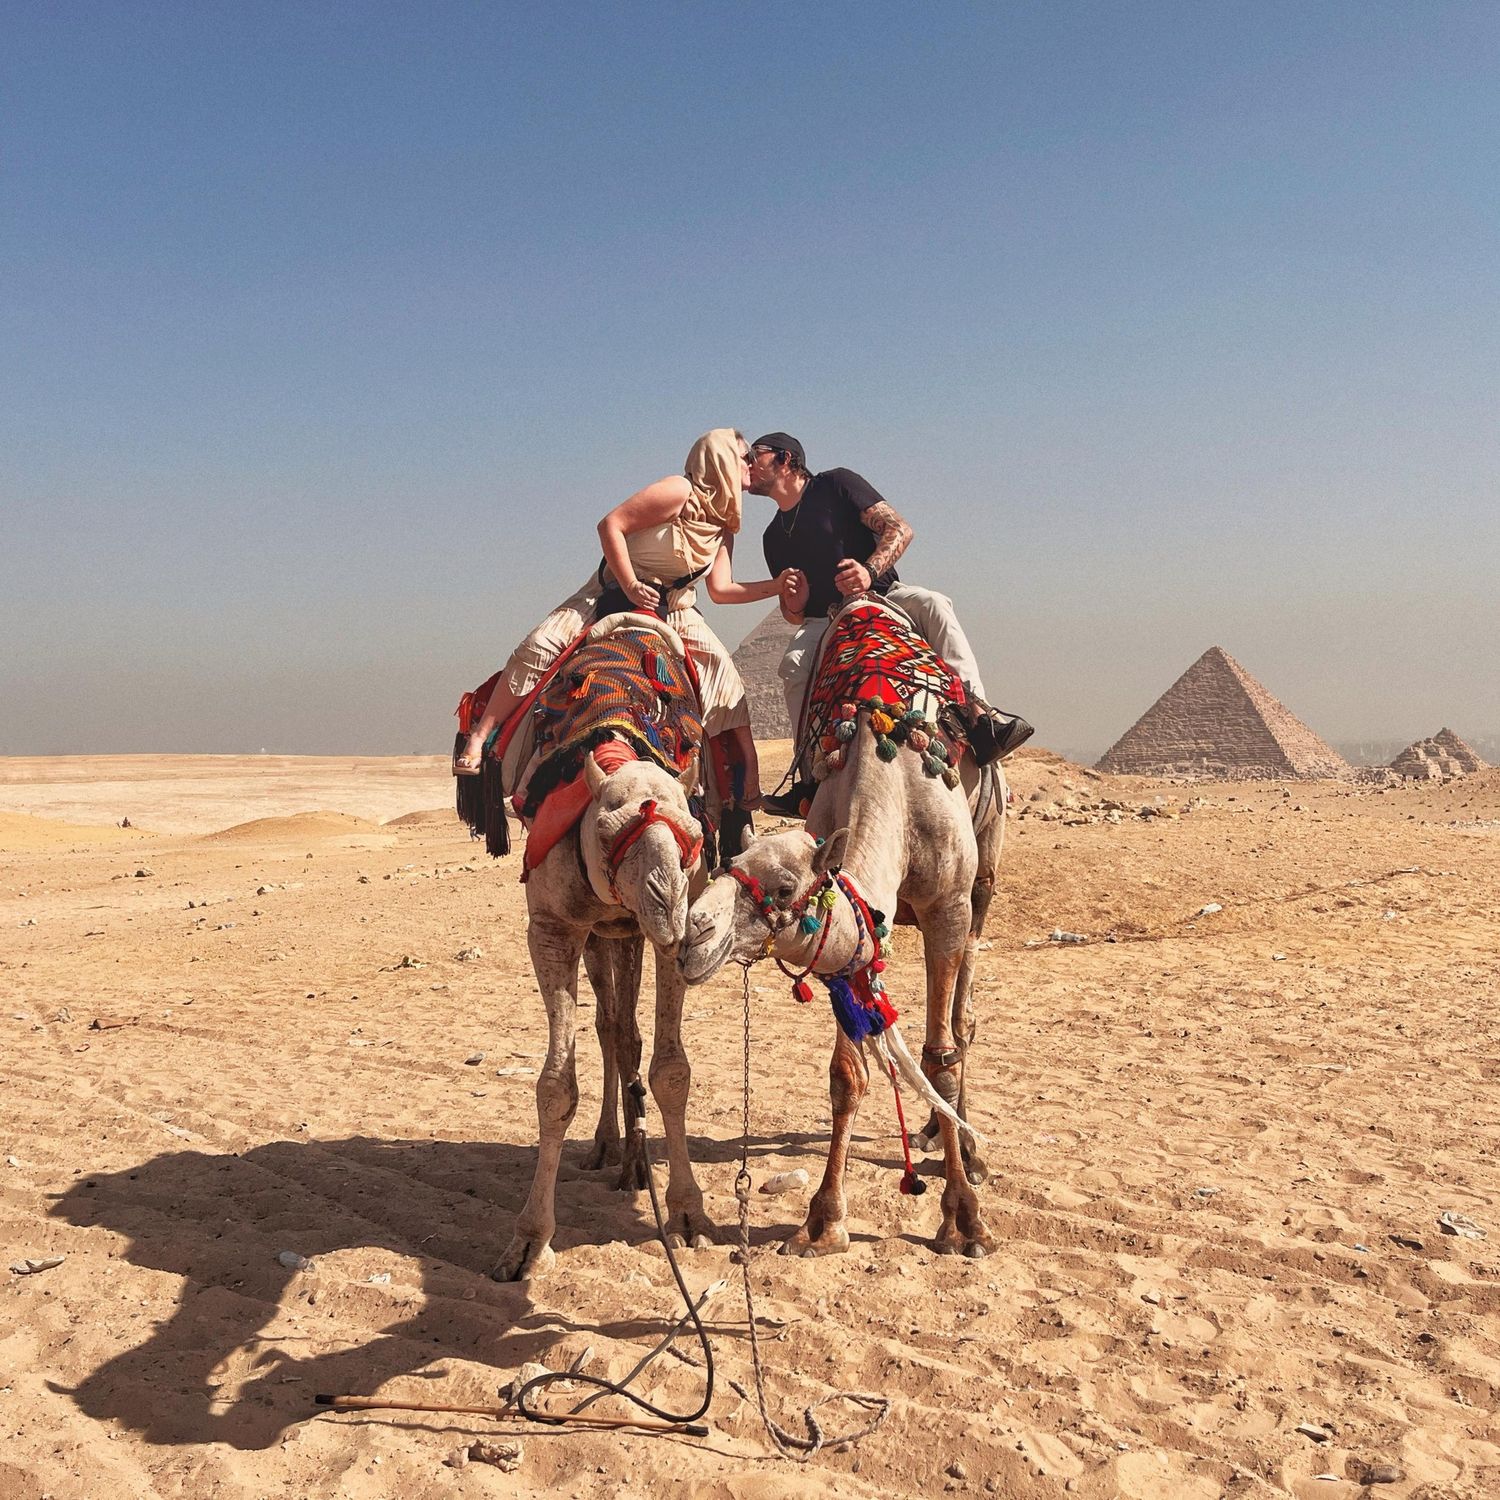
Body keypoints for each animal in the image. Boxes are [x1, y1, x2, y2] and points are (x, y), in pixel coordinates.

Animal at [679, 597, 1004, 1260]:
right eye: (727, 862)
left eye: (784, 888)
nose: (695, 932)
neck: (893, 777)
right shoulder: (845, 954)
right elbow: (847, 1076)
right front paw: (822, 1222)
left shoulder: (947, 908)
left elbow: (940, 1056)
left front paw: (965, 1219)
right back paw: (936, 1130)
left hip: (982, 884)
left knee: (961, 1023)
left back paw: (966, 1146)